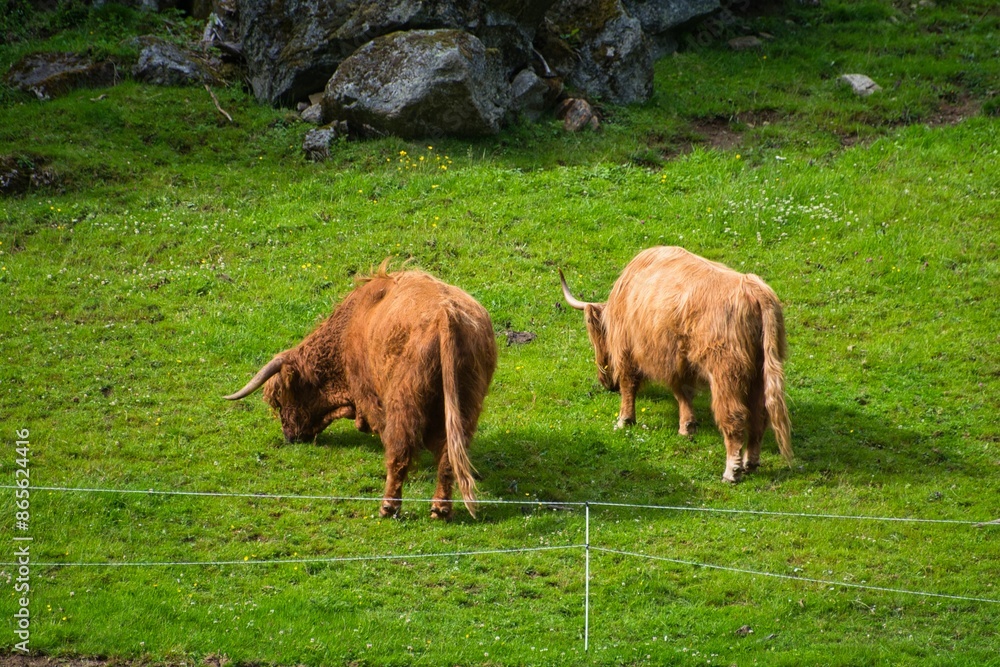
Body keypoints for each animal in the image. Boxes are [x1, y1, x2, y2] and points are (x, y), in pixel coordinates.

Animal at [224, 266, 496, 520]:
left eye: (281, 399)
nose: (289, 437)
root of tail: (445, 314)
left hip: (403, 403)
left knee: (400, 451)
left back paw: (389, 506)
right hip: (464, 406)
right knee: (448, 457)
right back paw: (440, 509)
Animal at [564, 248, 788, 482]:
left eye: (595, 340)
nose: (606, 383)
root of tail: (755, 290)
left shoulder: (629, 351)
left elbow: (629, 386)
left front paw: (624, 421)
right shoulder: (678, 360)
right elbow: (683, 392)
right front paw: (687, 427)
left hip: (726, 373)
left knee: (735, 418)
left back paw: (731, 471)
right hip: (759, 373)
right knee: (759, 416)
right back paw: (750, 463)